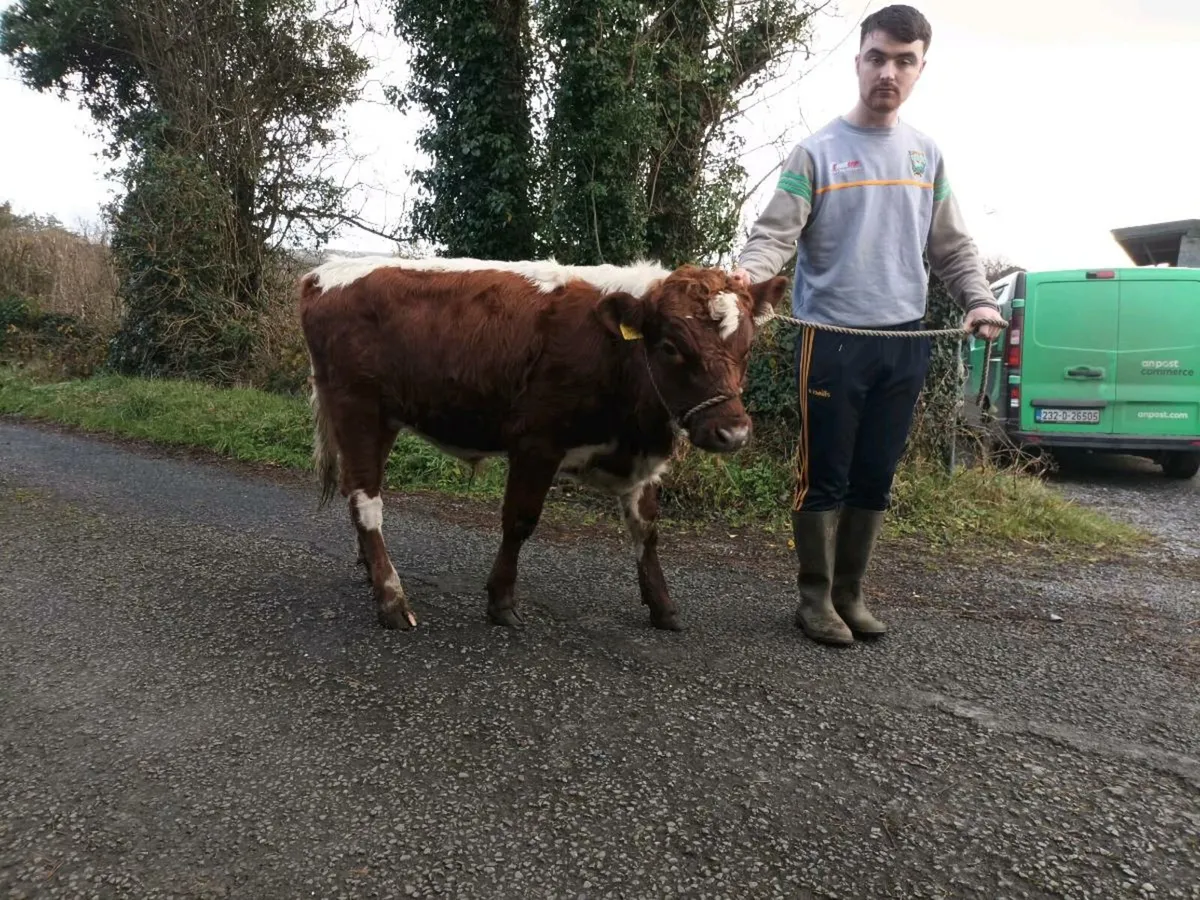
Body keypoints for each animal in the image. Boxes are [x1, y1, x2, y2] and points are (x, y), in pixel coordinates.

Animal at [297, 256, 789, 632]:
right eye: (670, 346)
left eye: (748, 346)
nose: (732, 433)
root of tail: (322, 274)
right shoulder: (537, 443)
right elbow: (520, 521)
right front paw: (501, 601)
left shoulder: (638, 456)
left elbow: (647, 528)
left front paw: (663, 606)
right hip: (358, 408)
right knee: (367, 501)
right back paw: (392, 599)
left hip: (383, 419)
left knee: (357, 492)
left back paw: (370, 573)